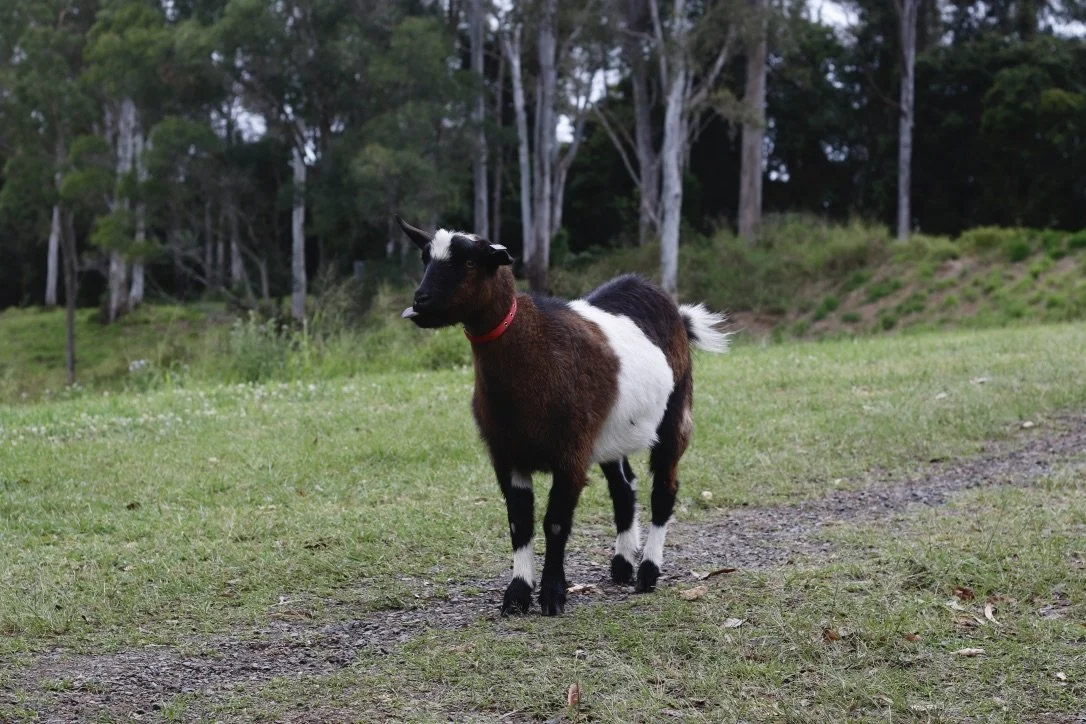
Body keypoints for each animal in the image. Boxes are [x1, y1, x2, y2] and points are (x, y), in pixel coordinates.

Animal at [397, 217, 729, 616]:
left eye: (471, 263)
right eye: (425, 258)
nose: (420, 302)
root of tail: (674, 310)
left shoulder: (570, 453)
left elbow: (555, 522)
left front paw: (553, 595)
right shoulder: (507, 453)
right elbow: (519, 522)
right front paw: (517, 594)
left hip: (675, 411)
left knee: (664, 487)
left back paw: (648, 572)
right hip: (609, 431)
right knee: (624, 488)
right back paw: (622, 565)